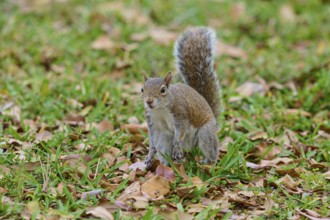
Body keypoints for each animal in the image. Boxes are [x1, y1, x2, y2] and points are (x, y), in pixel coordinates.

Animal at [142, 27, 222, 168]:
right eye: (142, 89)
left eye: (163, 90)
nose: (149, 101)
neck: (160, 109)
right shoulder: (152, 122)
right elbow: (152, 140)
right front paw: (150, 154)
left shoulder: (181, 114)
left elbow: (180, 132)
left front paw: (177, 146)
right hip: (166, 138)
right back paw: (165, 165)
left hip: (205, 133)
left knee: (210, 150)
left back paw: (208, 163)